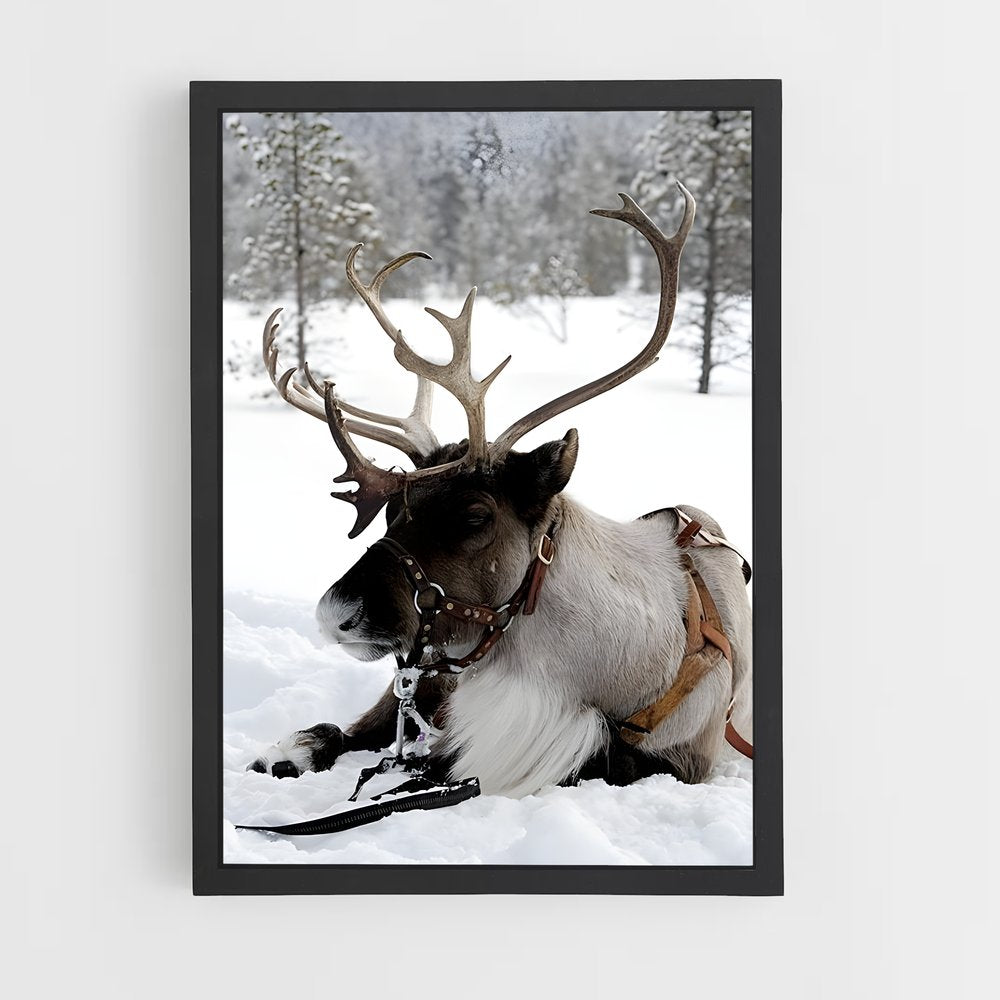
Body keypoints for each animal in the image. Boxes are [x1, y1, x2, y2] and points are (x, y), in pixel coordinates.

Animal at [246, 185, 753, 798]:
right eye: (393, 511)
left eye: (474, 515)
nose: (333, 614)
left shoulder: (684, 759)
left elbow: (595, 755)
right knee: (353, 726)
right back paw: (285, 753)